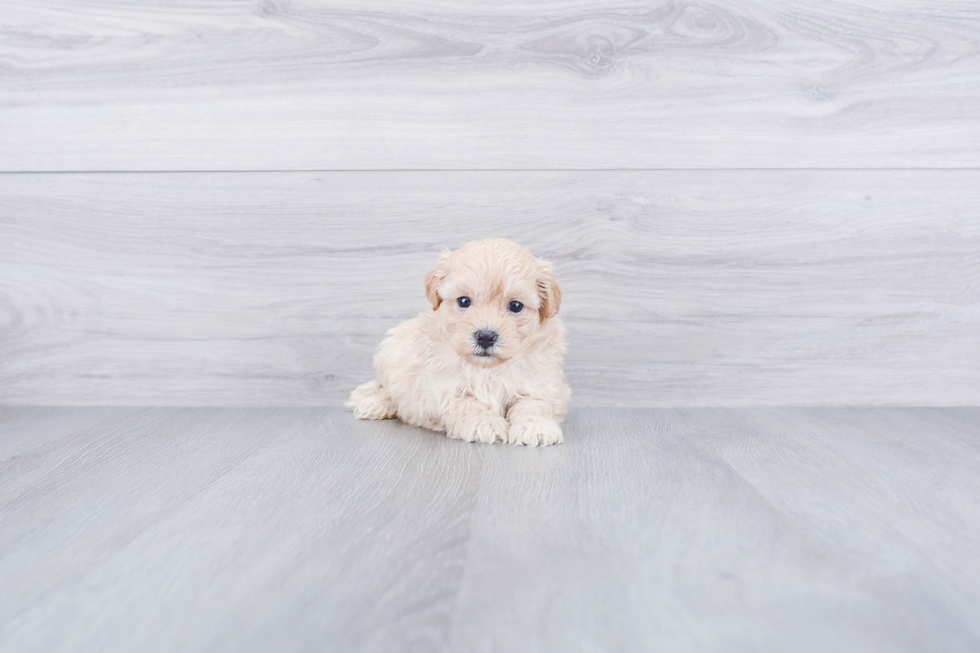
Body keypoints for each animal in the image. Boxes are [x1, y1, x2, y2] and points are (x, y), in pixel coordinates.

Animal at [348, 237, 572, 446]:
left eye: (516, 306)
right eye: (464, 301)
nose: (485, 336)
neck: (488, 369)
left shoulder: (541, 384)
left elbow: (534, 404)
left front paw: (536, 427)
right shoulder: (443, 388)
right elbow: (468, 404)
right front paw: (484, 423)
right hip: (391, 352)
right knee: (387, 388)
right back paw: (375, 404)